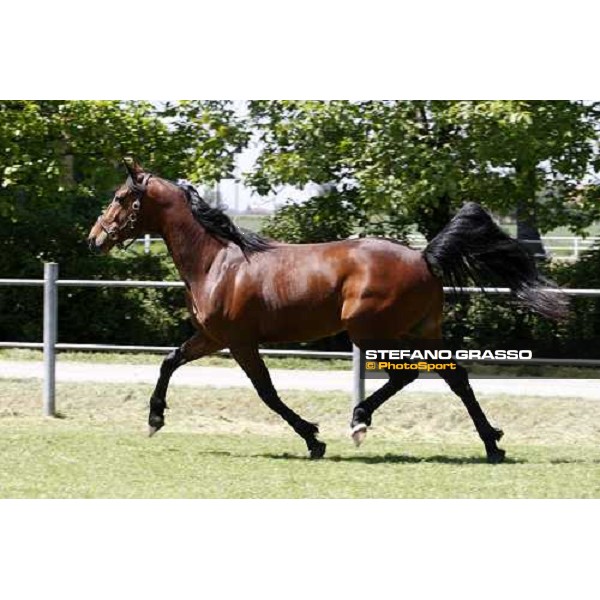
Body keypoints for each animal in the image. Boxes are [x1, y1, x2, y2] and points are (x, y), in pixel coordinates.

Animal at [85, 157, 568, 462]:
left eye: (122, 197)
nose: (95, 238)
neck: (217, 261)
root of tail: (423, 257)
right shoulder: (211, 337)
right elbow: (169, 361)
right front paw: (154, 419)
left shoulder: (240, 342)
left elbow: (267, 392)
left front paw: (313, 439)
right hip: (422, 332)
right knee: (457, 378)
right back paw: (492, 444)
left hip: (372, 331)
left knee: (409, 376)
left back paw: (359, 422)